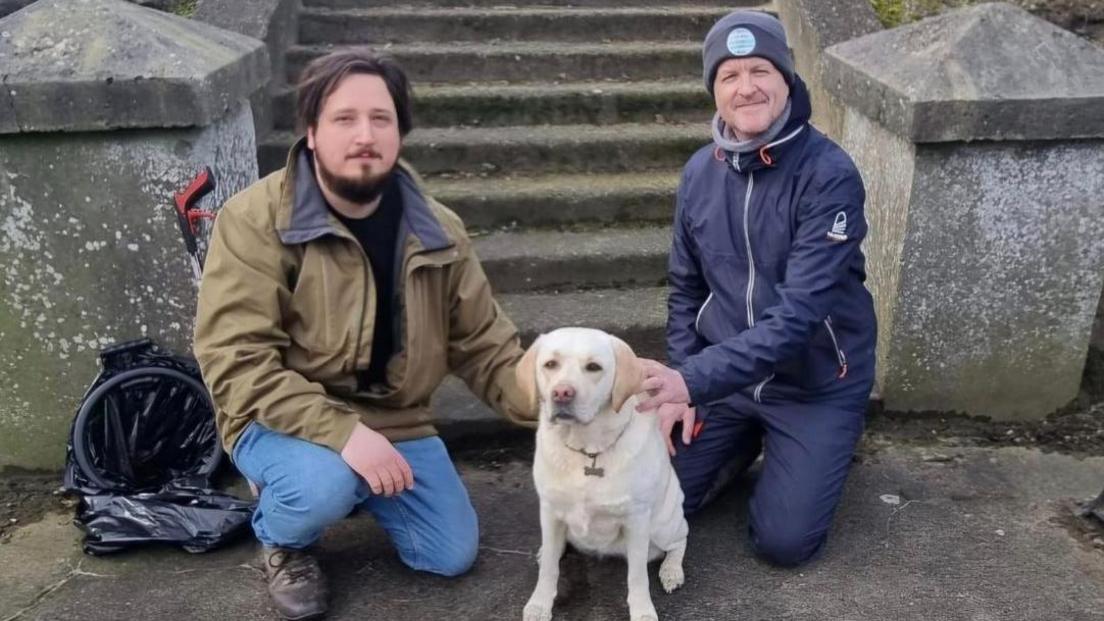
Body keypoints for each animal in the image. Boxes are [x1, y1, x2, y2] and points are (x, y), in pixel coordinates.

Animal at [514, 327, 684, 614]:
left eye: (594, 367)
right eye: (550, 364)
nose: (561, 393)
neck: (588, 451)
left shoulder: (637, 519)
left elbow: (637, 577)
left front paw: (643, 611)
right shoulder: (549, 509)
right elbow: (549, 568)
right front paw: (539, 605)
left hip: (662, 525)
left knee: (680, 539)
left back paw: (672, 571)